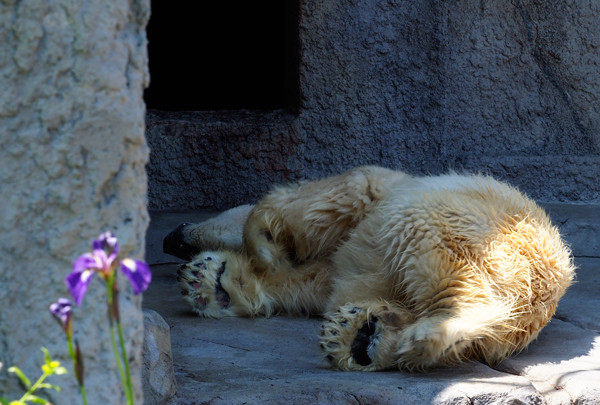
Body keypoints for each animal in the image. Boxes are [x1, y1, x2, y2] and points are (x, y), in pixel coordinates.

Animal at [165, 165, 576, 370]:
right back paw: (361, 338)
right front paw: (209, 284)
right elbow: (304, 284)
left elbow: (326, 198)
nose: (172, 237)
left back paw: (426, 333)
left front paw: (258, 245)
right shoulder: (330, 270)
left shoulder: (371, 193)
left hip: (468, 224)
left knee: (433, 251)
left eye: (188, 237)